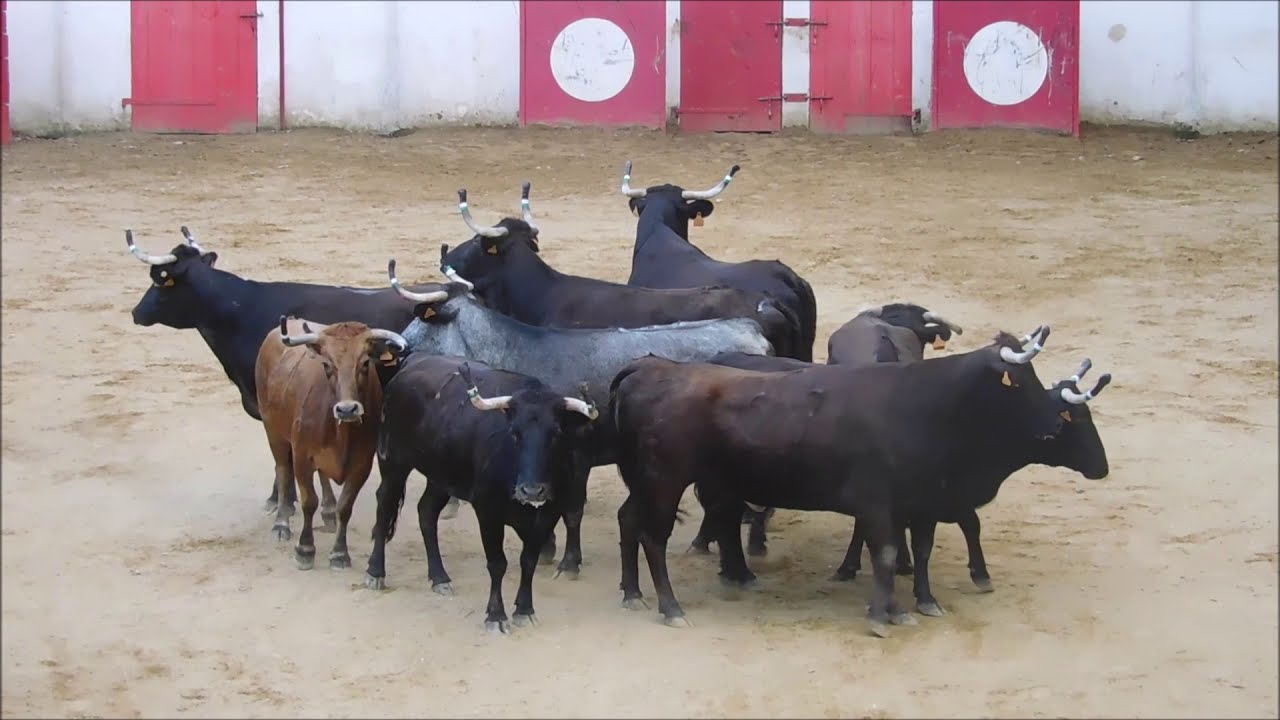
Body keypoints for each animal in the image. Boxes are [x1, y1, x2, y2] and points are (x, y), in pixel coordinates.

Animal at [255, 316, 409, 571]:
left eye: (365, 363)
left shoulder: (362, 463)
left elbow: (345, 507)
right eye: (327, 365)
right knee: (283, 470)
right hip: (273, 431)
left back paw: (328, 513)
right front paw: (305, 549)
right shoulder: (302, 456)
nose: (347, 409)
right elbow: (309, 501)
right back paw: (281, 523)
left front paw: (339, 553)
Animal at [364, 355, 599, 634]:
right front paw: (496, 615)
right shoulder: (488, 512)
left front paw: (524, 610)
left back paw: (439, 577)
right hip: (392, 461)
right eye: (514, 433)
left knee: (426, 511)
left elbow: (528, 560)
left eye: (556, 433)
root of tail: (411, 364)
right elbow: (497, 564)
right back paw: (375, 572)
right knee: (383, 505)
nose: (531, 490)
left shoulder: (547, 515)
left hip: (441, 476)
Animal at [385, 258, 774, 576]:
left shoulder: (575, 455)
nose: (399, 348)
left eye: (421, 317)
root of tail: (752, 330)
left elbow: (570, 509)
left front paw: (566, 560)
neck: (512, 351)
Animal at [607, 326, 1067, 637]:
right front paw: (882, 616)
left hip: (645, 481)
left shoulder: (905, 505)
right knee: (654, 538)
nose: (1055, 424)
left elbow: (895, 553)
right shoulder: (878, 503)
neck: (921, 405)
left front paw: (900, 608)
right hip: (664, 481)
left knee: (630, 519)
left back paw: (633, 593)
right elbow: (885, 554)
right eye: (1018, 382)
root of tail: (648, 367)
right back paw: (671, 608)